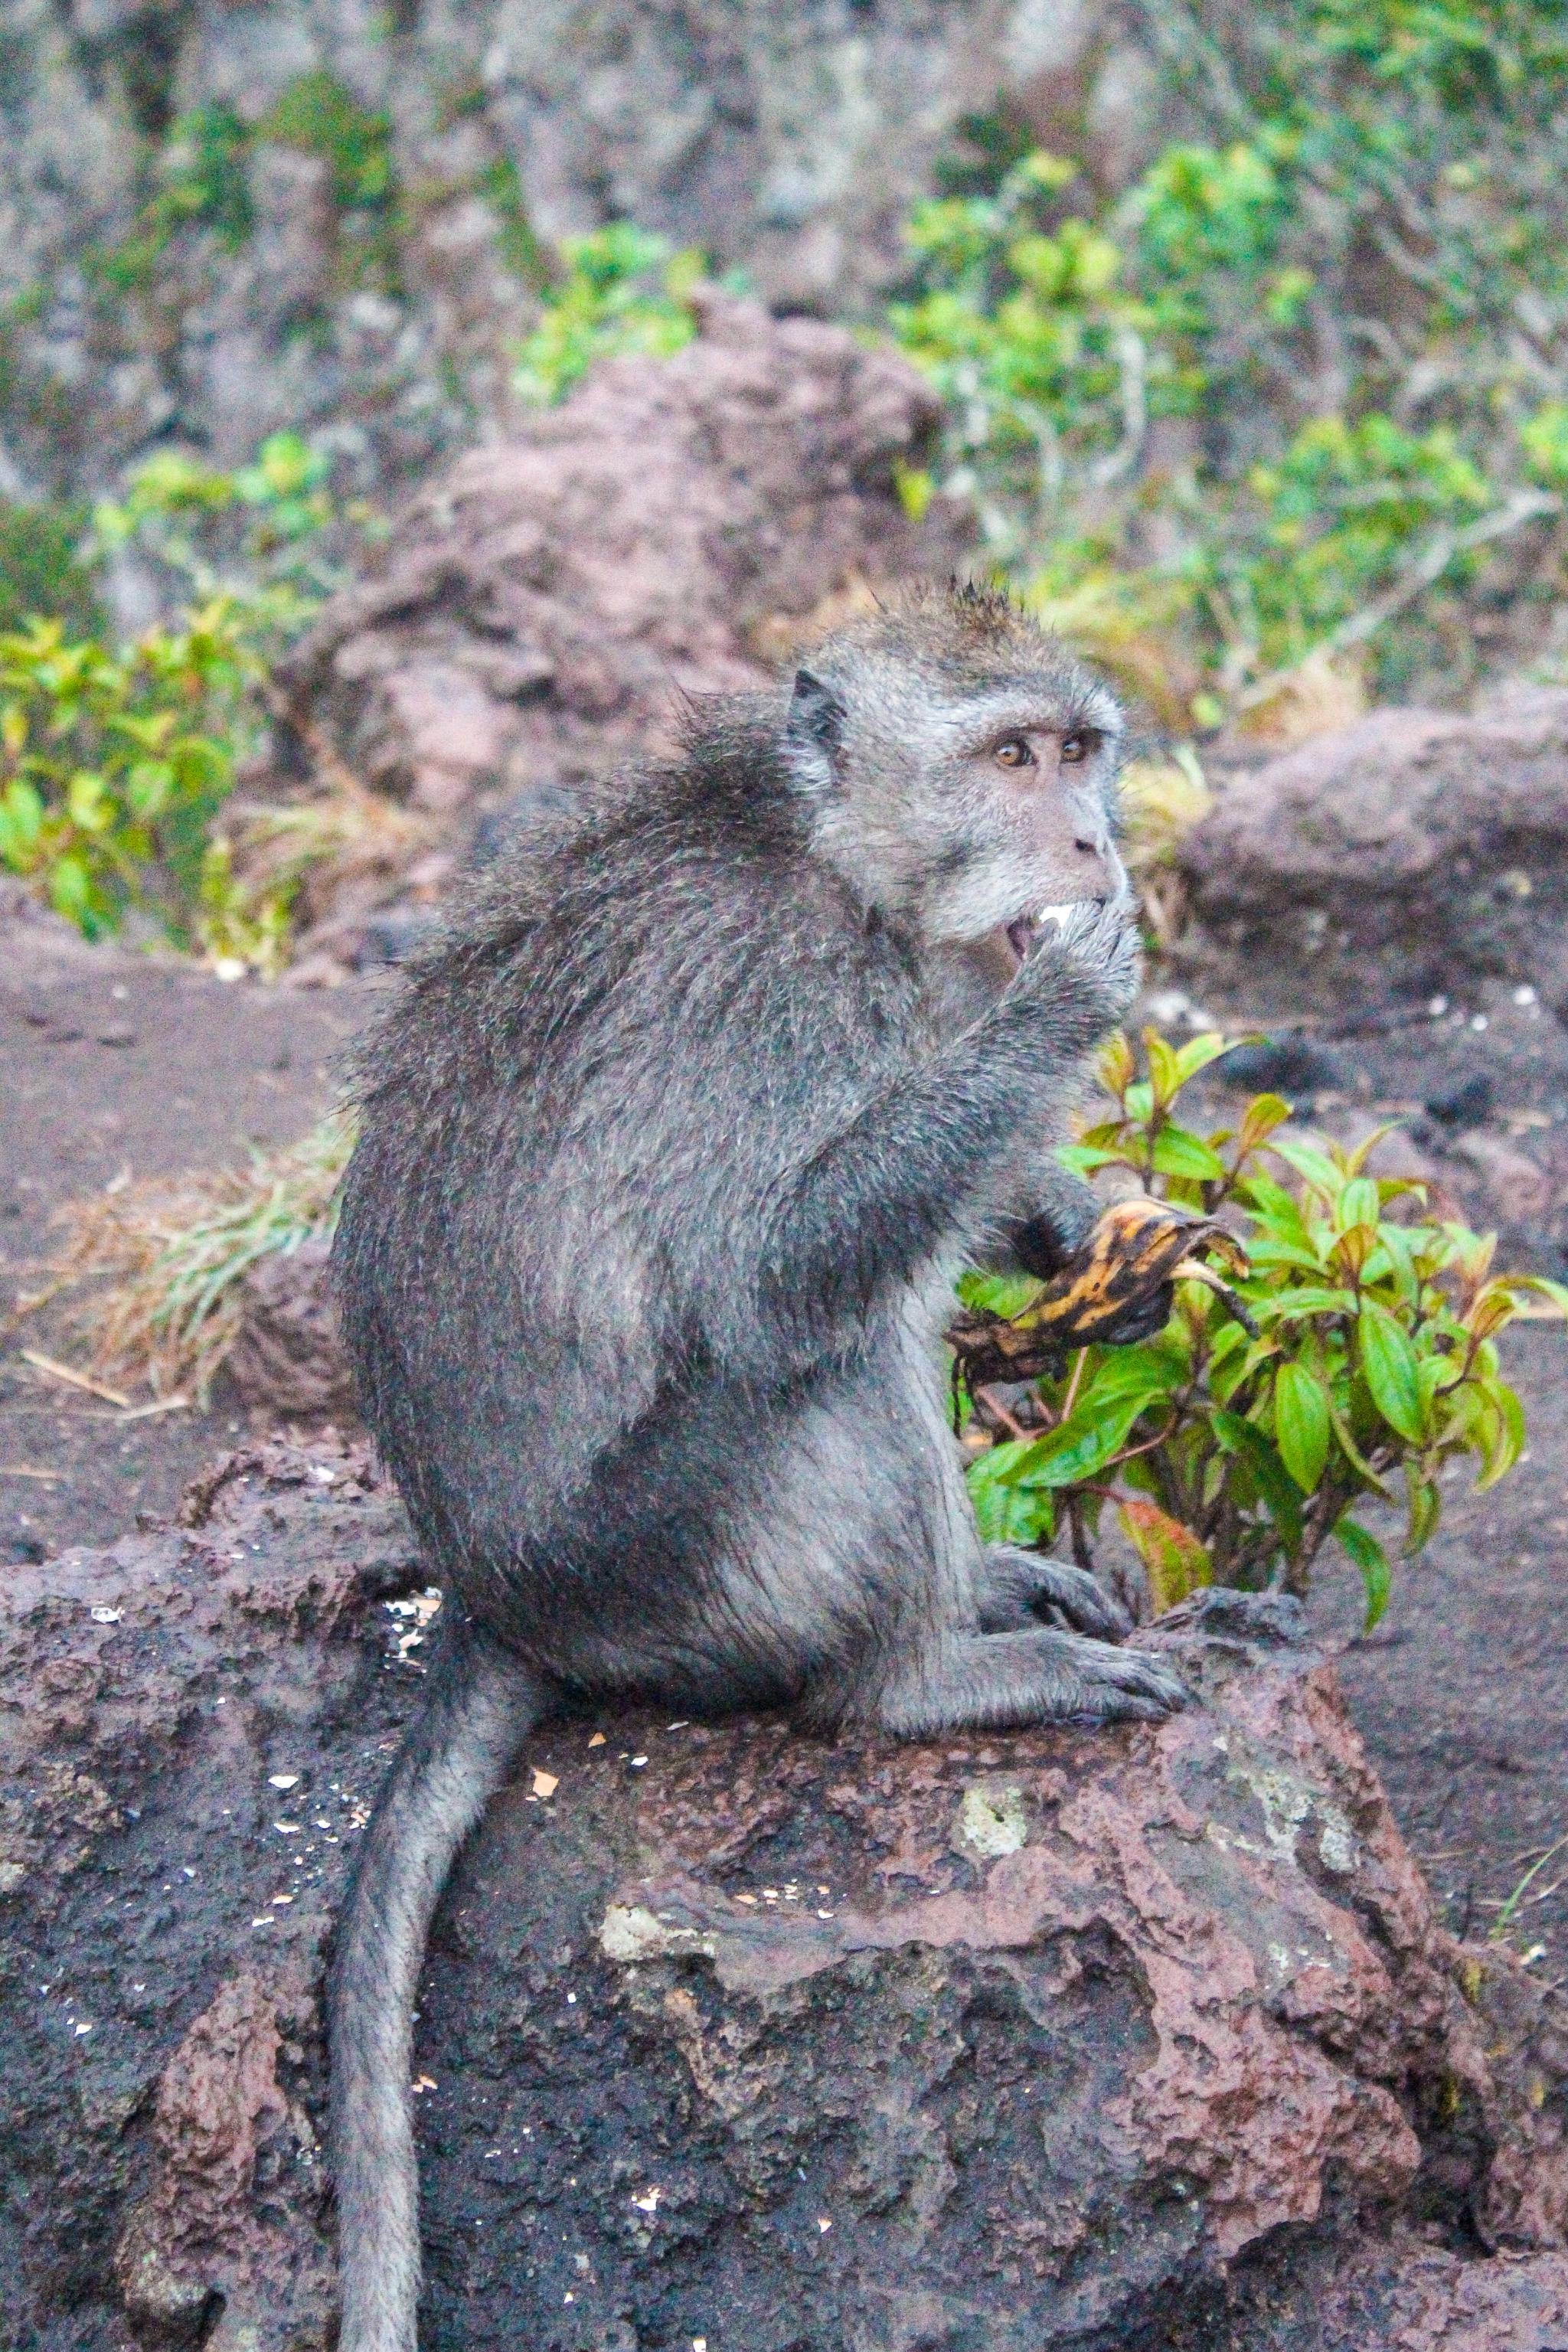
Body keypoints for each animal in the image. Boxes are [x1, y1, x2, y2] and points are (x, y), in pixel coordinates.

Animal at [327, 580, 1188, 2352]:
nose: (1089, 839)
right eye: (1010, 758)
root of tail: (497, 1597)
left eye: (1082, 750)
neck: (847, 873)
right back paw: (922, 1679)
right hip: (668, 1555)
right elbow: (765, 1282)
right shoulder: (775, 1003)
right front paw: (1057, 1014)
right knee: (831, 1353)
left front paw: (1071, 1218)